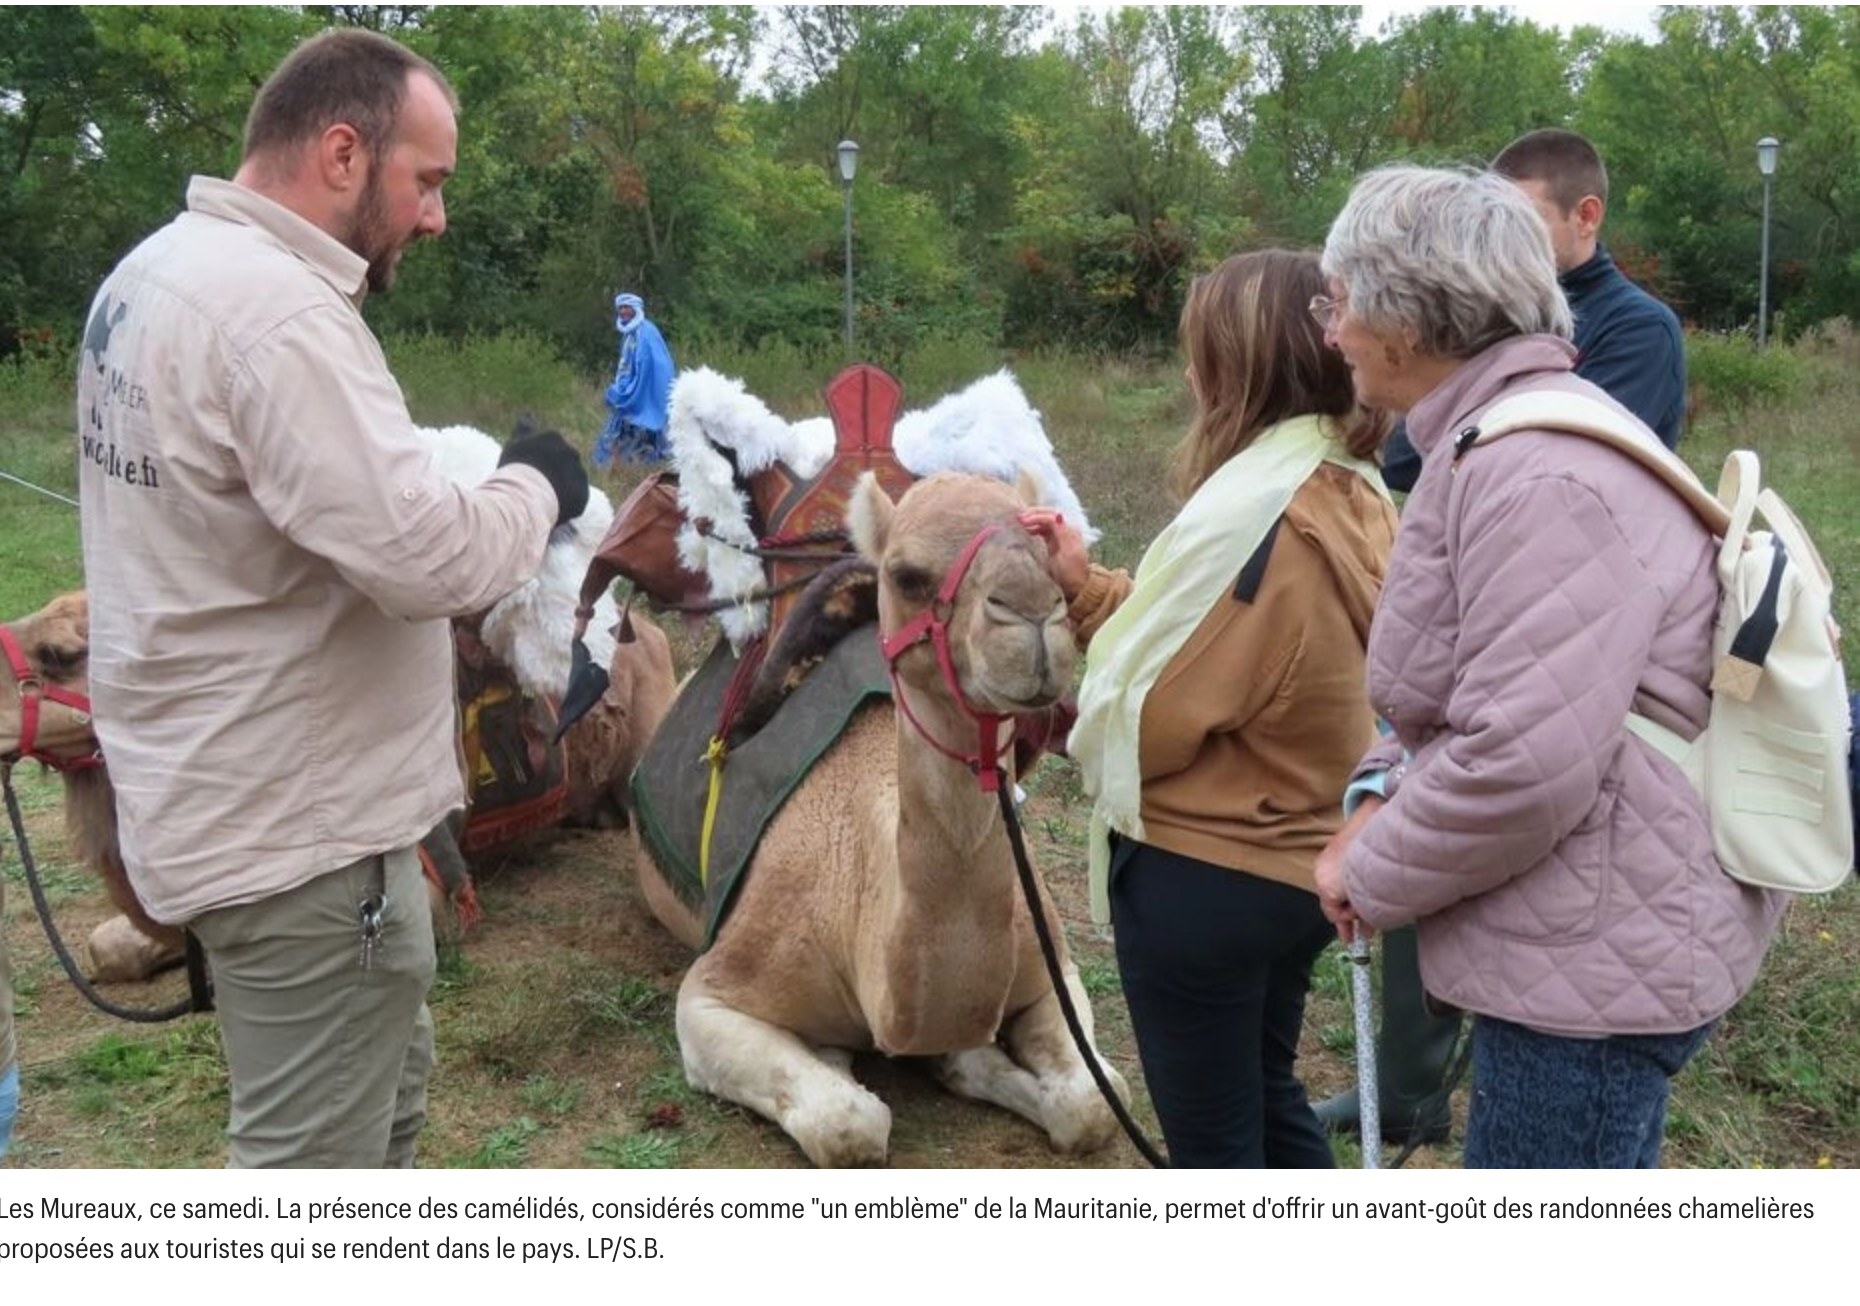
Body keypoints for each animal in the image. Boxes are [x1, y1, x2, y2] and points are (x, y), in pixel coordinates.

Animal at [639, 472, 1123, 1175]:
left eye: (1053, 556)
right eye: (908, 575)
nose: (1033, 616)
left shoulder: (1052, 965)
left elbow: (1094, 1103)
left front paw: (960, 1062)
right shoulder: (710, 995)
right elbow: (849, 1125)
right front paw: (847, 1060)